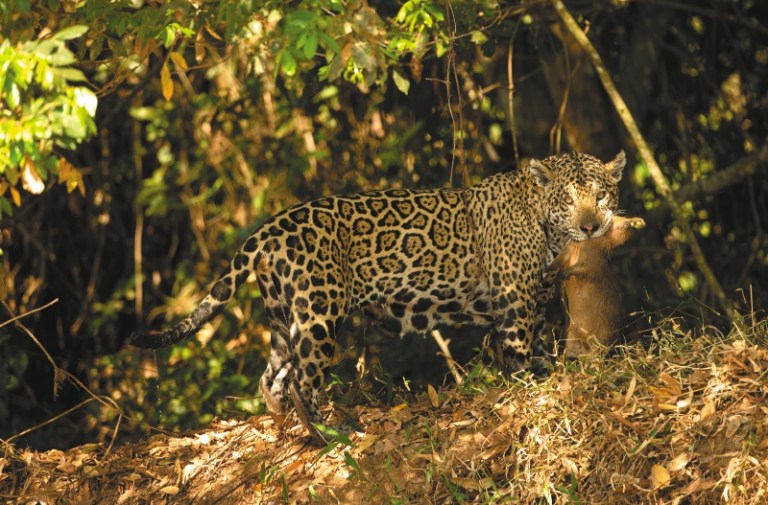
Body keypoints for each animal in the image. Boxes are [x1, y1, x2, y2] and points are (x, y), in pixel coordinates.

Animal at [129, 150, 625, 443]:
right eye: (568, 199)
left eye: (601, 196)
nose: (590, 226)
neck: (545, 225)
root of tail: (268, 228)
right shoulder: (513, 299)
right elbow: (520, 353)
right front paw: (530, 392)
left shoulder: (536, 300)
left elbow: (540, 346)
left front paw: (549, 377)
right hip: (318, 311)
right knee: (301, 379)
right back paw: (326, 433)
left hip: (282, 314)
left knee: (272, 377)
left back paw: (286, 430)